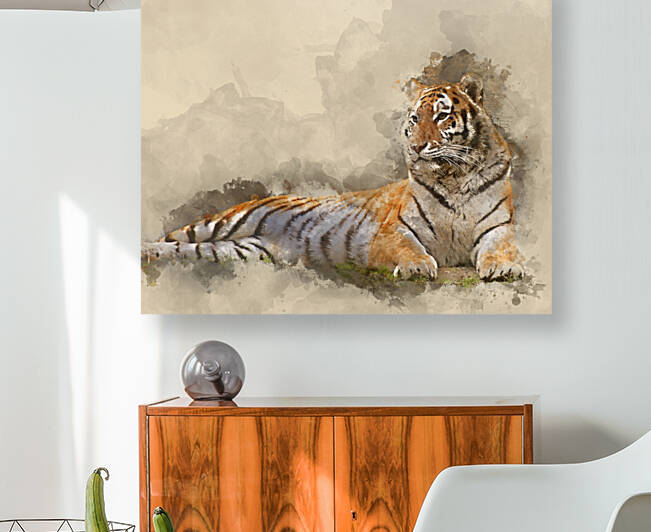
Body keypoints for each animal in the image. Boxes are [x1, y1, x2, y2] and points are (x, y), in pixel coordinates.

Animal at [143, 72, 523, 282]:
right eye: (415, 119)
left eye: (442, 116)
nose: (415, 148)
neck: (453, 176)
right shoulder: (393, 232)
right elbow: (409, 248)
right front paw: (417, 267)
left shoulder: (497, 228)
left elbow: (501, 249)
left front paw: (505, 268)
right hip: (223, 222)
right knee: (176, 236)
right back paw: (146, 249)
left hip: (239, 250)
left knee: (187, 250)